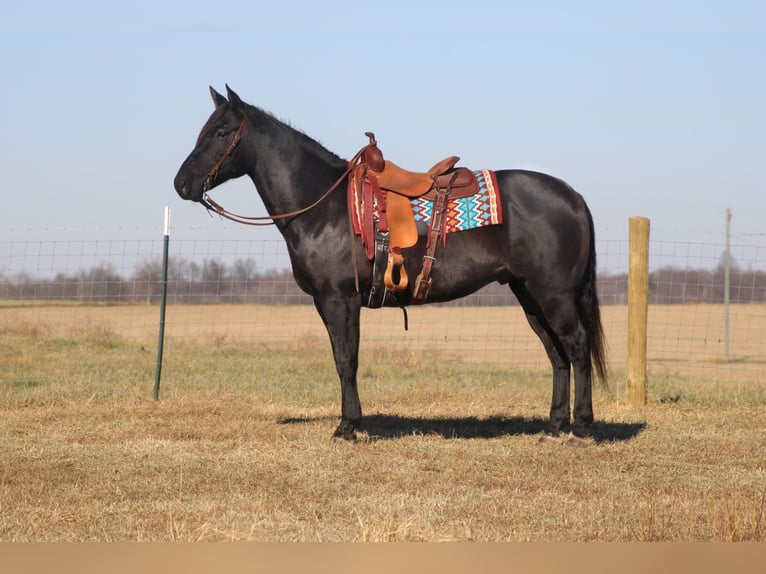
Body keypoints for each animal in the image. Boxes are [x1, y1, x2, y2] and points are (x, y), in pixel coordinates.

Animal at [174, 84, 608, 446]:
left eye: (222, 131)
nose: (181, 184)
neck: (325, 207)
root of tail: (572, 196)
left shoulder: (340, 300)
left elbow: (346, 361)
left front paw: (348, 427)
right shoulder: (326, 303)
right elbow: (342, 359)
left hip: (553, 294)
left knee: (576, 346)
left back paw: (581, 430)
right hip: (528, 294)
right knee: (557, 355)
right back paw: (553, 428)